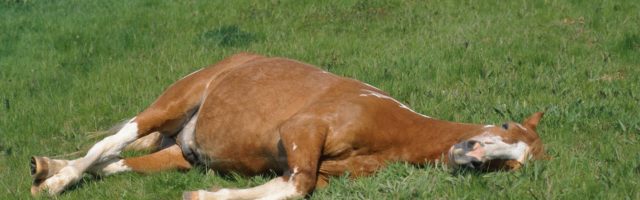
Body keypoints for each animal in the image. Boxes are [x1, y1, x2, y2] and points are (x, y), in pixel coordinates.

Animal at [27, 53, 544, 200]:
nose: (473, 154)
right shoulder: (301, 130)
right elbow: (297, 186)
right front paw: (204, 197)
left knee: (118, 163)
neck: (392, 127)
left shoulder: (310, 163)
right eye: (504, 123)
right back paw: (52, 181)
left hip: (182, 152)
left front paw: (206, 195)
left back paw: (46, 167)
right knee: (108, 144)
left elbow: (294, 185)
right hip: (170, 104)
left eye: (512, 166)